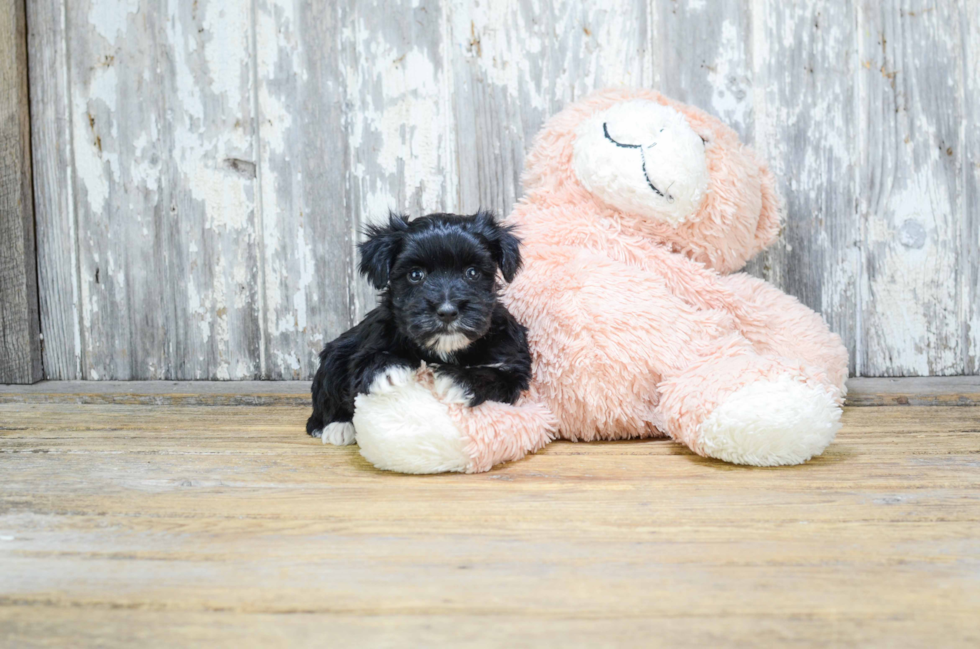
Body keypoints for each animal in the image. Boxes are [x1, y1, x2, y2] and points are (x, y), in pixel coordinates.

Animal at [308, 213, 532, 446]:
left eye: (472, 273)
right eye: (415, 274)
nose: (447, 311)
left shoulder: (512, 362)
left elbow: (496, 376)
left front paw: (458, 381)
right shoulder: (369, 343)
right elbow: (367, 360)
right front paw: (389, 370)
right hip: (337, 352)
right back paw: (337, 426)